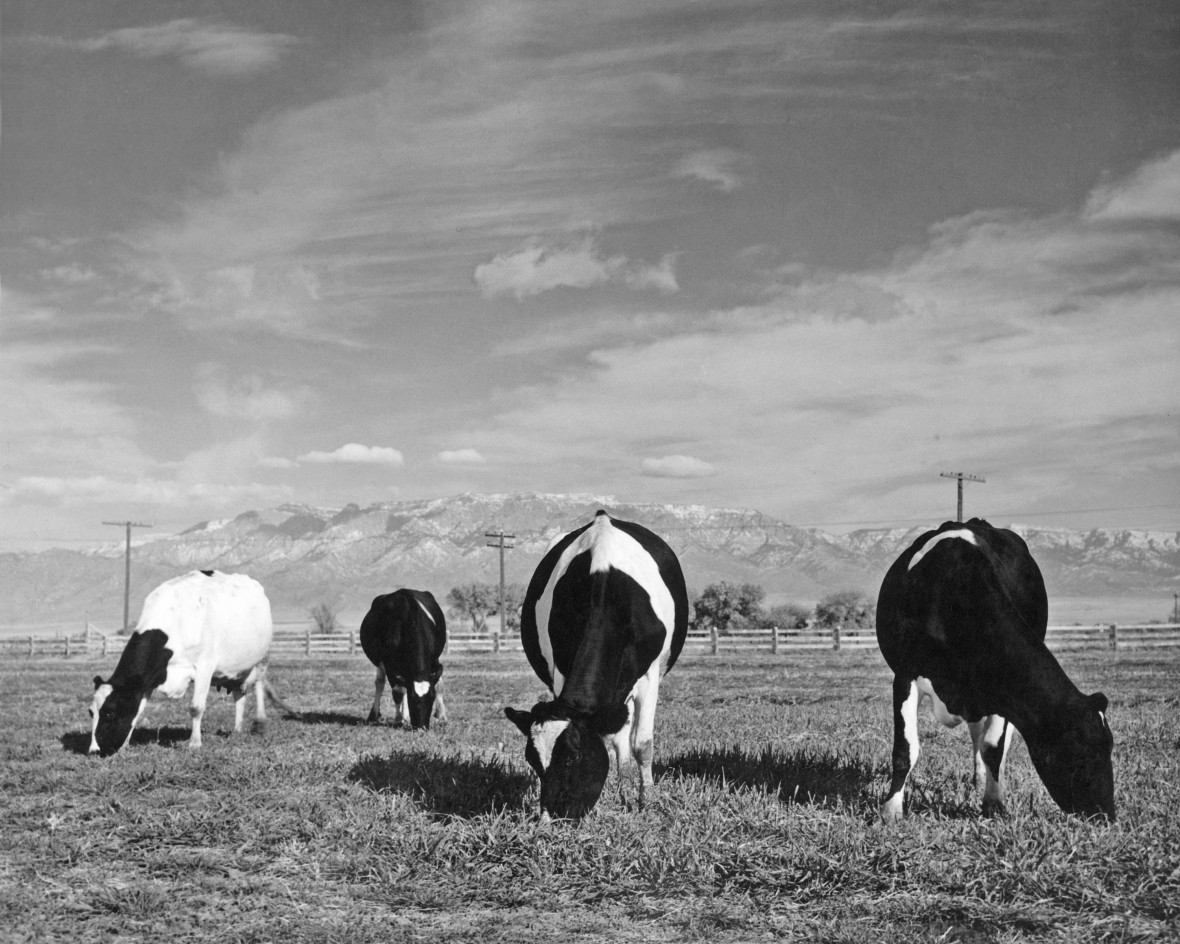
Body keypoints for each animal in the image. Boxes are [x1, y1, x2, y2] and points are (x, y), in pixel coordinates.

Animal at [89, 570, 274, 757]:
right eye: (91, 712)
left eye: (109, 712)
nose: (94, 751)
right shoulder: (149, 678)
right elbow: (138, 709)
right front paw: (125, 745)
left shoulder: (204, 667)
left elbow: (196, 707)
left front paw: (194, 744)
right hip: (237, 670)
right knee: (239, 694)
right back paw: (236, 731)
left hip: (262, 658)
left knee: (259, 686)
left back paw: (260, 723)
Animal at [360, 588, 447, 730]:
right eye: (413, 699)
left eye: (431, 698)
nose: (421, 727)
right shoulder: (389, 665)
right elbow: (398, 693)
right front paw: (398, 719)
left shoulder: (434, 660)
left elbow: (439, 685)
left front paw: (442, 717)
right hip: (382, 663)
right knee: (380, 683)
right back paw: (374, 716)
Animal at [504, 510, 689, 819]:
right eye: (532, 762)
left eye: (573, 757)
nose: (549, 816)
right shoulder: (560, 670)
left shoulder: (649, 676)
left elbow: (643, 744)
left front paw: (647, 802)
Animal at [876, 518, 1115, 821]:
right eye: (1082, 753)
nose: (1108, 814)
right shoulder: (905, 674)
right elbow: (905, 750)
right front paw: (891, 810)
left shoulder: (1002, 691)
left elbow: (993, 748)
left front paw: (993, 803)